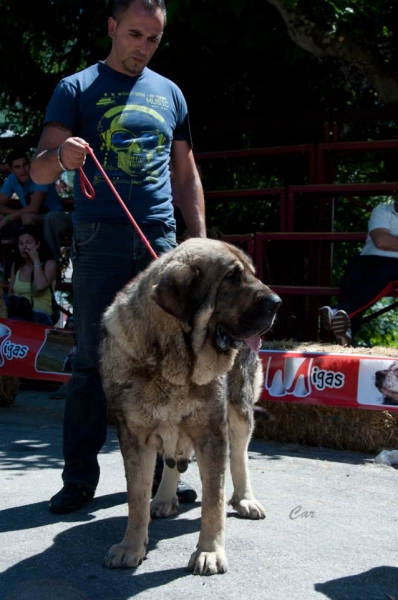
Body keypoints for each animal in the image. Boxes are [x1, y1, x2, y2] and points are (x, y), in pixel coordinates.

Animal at [98, 237, 280, 576]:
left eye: (251, 273)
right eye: (232, 277)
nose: (278, 302)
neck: (174, 359)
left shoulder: (212, 431)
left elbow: (214, 499)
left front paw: (209, 551)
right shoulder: (133, 435)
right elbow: (136, 496)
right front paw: (131, 546)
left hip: (238, 408)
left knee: (240, 456)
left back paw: (245, 500)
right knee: (172, 457)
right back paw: (164, 498)